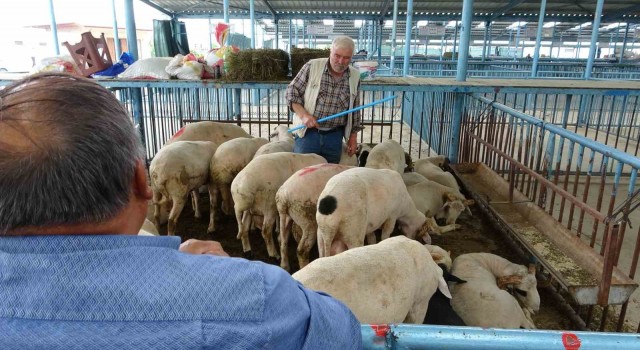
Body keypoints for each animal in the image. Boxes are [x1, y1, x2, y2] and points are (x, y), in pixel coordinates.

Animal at [316, 167, 460, 258]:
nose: (413, 238)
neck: (406, 208)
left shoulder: (372, 223)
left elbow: (372, 237)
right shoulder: (392, 216)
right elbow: (386, 233)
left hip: (321, 236)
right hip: (353, 232)